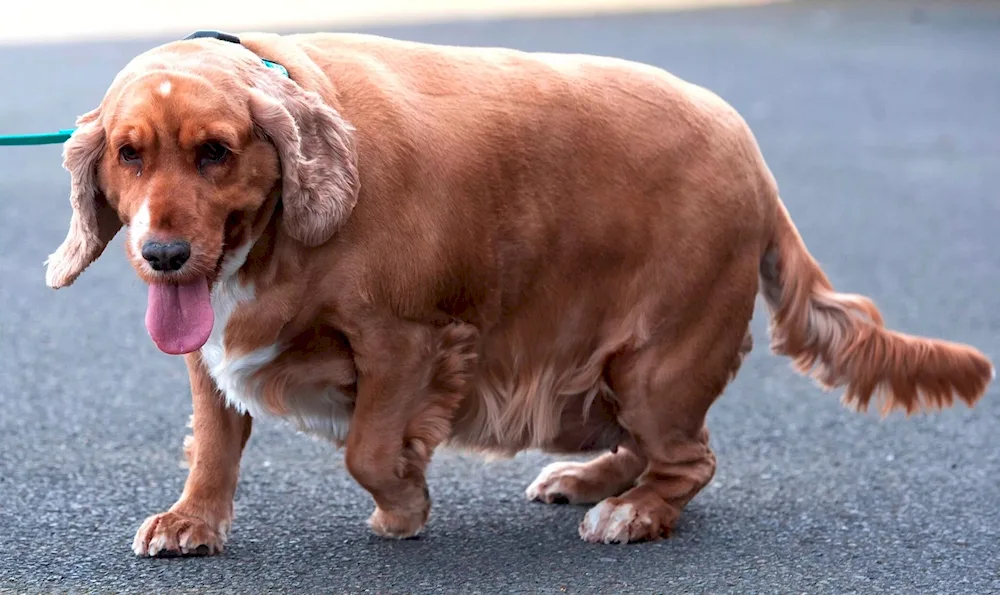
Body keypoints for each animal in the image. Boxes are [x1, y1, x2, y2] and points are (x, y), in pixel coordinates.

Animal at [45, 30, 992, 556]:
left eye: (216, 151)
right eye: (129, 153)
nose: (164, 254)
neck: (280, 237)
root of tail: (755, 163)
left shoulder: (409, 340)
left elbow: (369, 449)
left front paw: (405, 506)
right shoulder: (213, 350)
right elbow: (214, 445)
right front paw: (193, 521)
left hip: (652, 364)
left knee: (690, 458)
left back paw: (630, 513)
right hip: (599, 385)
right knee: (657, 447)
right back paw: (591, 480)